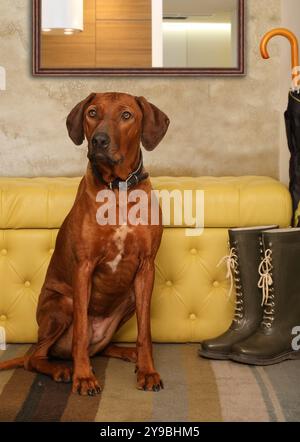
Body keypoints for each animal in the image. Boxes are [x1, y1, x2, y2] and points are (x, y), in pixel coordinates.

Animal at [0, 91, 169, 396]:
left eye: (126, 115)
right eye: (92, 113)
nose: (99, 141)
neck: (118, 190)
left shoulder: (146, 267)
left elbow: (145, 331)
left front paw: (148, 370)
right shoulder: (83, 267)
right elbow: (79, 331)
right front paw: (84, 377)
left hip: (128, 297)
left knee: (98, 349)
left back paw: (129, 354)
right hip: (61, 305)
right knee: (35, 357)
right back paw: (61, 370)